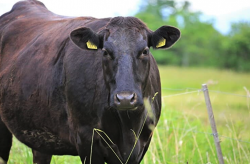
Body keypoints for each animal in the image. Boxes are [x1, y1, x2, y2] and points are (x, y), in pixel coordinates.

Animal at [0, 0, 180, 163]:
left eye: (145, 51)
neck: (128, 126)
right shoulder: (87, 140)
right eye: (105, 51)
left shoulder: (142, 144)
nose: (125, 98)